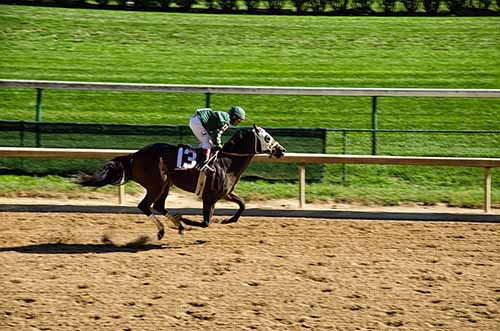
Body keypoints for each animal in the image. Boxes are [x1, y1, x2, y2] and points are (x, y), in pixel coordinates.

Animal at [74, 124, 286, 241]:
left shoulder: (225, 193)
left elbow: (242, 204)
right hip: (157, 184)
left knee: (158, 206)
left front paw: (228, 220)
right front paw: (186, 219)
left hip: (165, 185)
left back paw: (178, 227)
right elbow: (205, 222)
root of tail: (134, 156)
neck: (227, 162)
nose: (281, 150)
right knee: (145, 205)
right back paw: (167, 228)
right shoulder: (209, 197)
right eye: (267, 137)